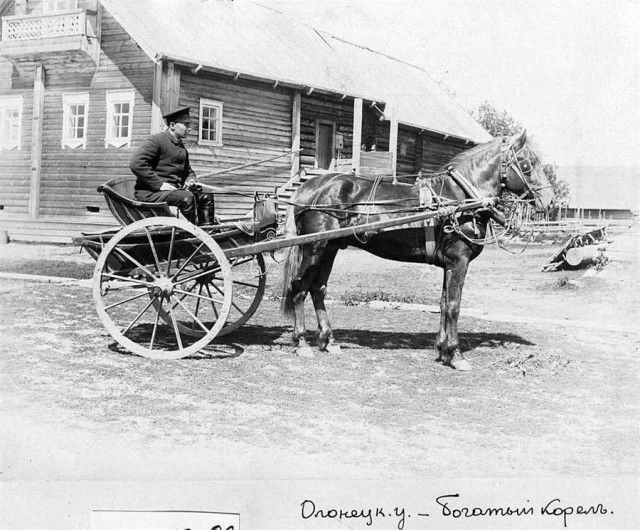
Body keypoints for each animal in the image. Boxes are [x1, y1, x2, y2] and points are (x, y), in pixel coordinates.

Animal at [280, 129, 556, 368]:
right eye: (528, 164)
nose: (550, 200)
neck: (460, 199)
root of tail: (310, 189)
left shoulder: (448, 264)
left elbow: (444, 304)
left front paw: (442, 350)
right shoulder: (459, 261)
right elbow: (454, 305)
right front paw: (456, 354)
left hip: (330, 249)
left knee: (317, 289)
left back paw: (329, 340)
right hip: (314, 248)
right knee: (298, 288)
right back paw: (301, 342)